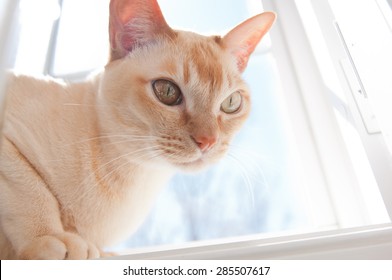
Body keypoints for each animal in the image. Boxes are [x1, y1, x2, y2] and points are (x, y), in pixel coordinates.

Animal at [0, 0, 276, 260]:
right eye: (167, 91)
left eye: (231, 103)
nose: (208, 141)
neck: (137, 175)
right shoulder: (9, 148)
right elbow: (33, 191)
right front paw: (53, 239)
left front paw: (101, 253)